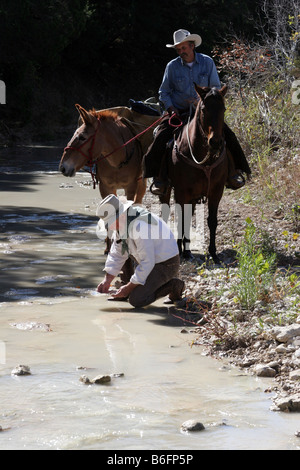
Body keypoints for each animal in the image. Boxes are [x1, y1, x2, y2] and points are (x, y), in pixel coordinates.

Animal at [161, 84, 229, 264]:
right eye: (204, 109)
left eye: (223, 109)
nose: (215, 142)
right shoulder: (181, 192)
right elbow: (180, 219)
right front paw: (179, 251)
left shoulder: (216, 191)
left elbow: (212, 221)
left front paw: (213, 253)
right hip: (168, 190)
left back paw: (187, 250)